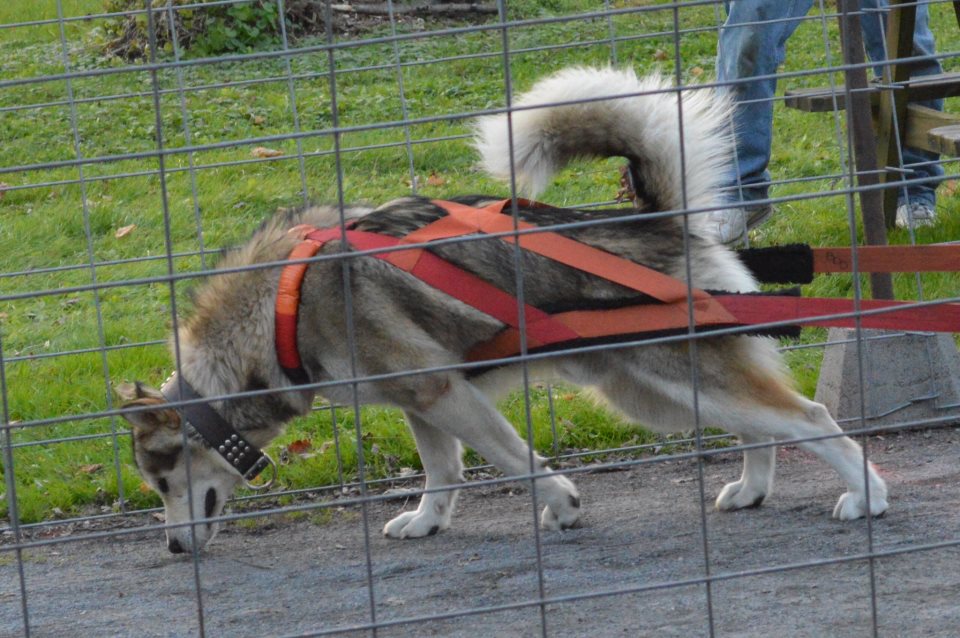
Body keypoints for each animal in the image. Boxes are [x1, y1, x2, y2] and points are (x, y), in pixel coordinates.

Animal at [116, 67, 888, 552]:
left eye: (162, 479)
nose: (174, 549)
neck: (283, 304)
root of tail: (658, 220)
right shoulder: (424, 404)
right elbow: (443, 475)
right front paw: (426, 523)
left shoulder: (443, 393)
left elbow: (516, 461)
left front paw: (561, 503)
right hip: (656, 394)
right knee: (760, 431)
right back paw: (752, 490)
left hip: (683, 377)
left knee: (811, 419)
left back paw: (868, 498)